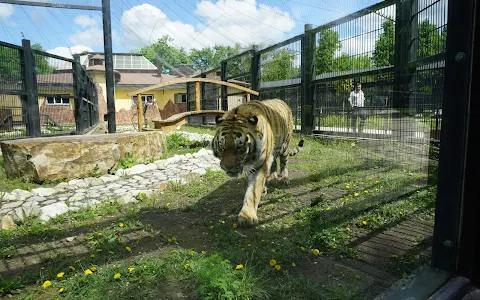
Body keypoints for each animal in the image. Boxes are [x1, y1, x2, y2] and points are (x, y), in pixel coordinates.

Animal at [213, 98, 304, 227]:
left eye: (240, 147)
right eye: (222, 146)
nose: (228, 167)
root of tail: (282, 101)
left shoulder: (260, 164)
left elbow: (253, 190)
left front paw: (247, 216)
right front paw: (264, 189)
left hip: (285, 145)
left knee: (284, 163)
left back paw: (284, 178)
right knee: (274, 163)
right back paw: (272, 178)